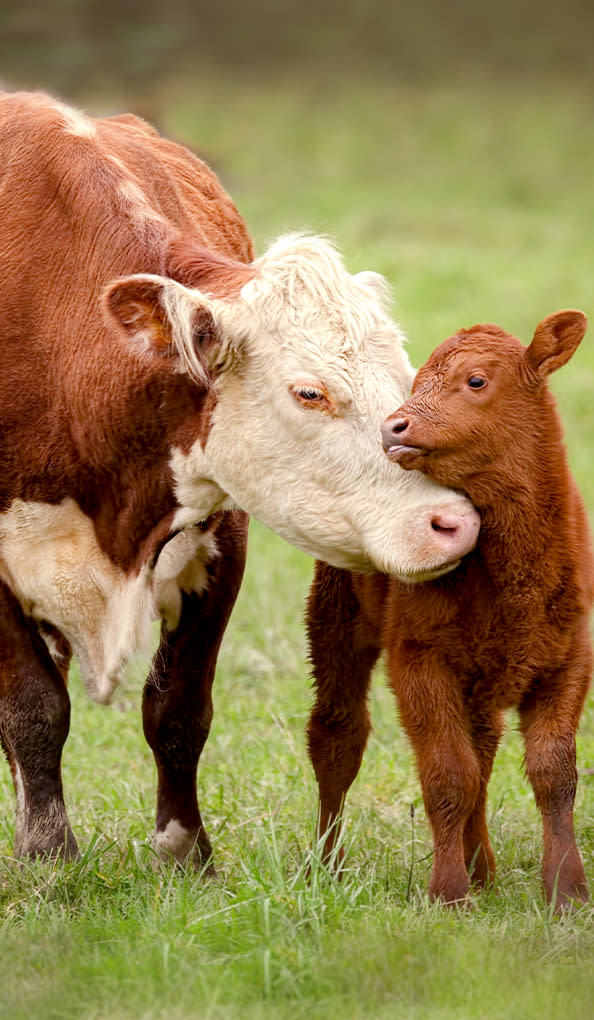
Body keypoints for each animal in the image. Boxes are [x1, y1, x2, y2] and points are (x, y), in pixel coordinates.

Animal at [0, 89, 483, 869]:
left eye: (406, 380)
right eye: (309, 392)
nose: (455, 523)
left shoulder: (222, 536)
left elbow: (177, 708)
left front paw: (183, 850)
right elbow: (32, 709)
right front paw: (48, 855)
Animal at [310, 308, 591, 909]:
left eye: (477, 380)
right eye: (415, 384)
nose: (393, 427)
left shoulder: (570, 658)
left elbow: (553, 773)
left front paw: (566, 890)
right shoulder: (419, 659)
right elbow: (447, 776)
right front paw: (448, 892)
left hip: (483, 678)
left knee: (482, 752)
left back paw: (482, 867)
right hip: (336, 619)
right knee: (338, 737)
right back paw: (326, 867)